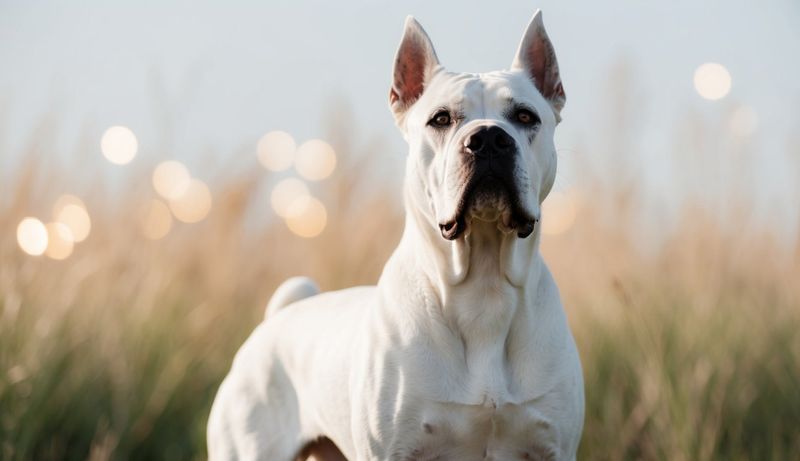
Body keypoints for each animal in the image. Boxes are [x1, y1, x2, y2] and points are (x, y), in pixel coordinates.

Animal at [206, 10, 580, 460]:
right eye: (441, 118)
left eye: (526, 117)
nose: (488, 137)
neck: (483, 282)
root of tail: (278, 317)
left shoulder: (553, 446)